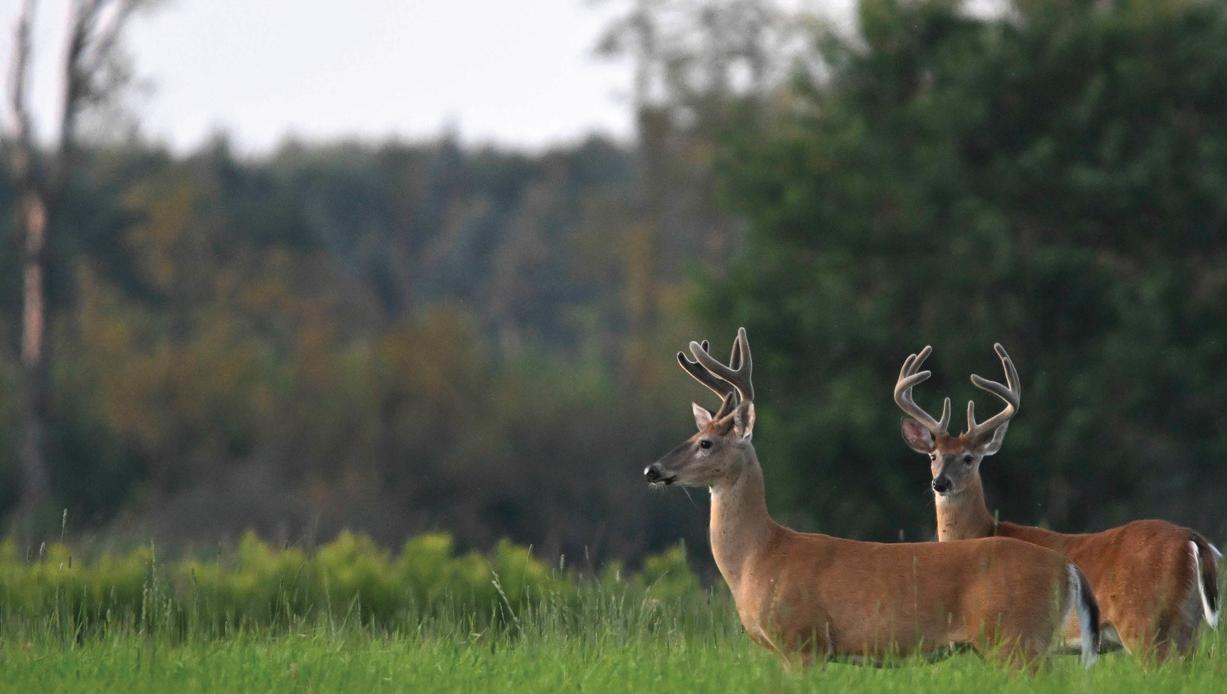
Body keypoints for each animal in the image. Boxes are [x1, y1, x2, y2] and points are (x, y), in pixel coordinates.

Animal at [644, 328, 1100, 669]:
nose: (653, 470)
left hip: (1015, 638)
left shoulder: (802, 641)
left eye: (705, 443)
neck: (759, 556)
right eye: (694, 434)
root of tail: (1069, 569)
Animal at [895, 343, 1221, 659]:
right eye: (933, 456)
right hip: (1186, 627)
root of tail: (1192, 539)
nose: (940, 483)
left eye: (968, 458)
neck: (981, 532)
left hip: (1144, 620)